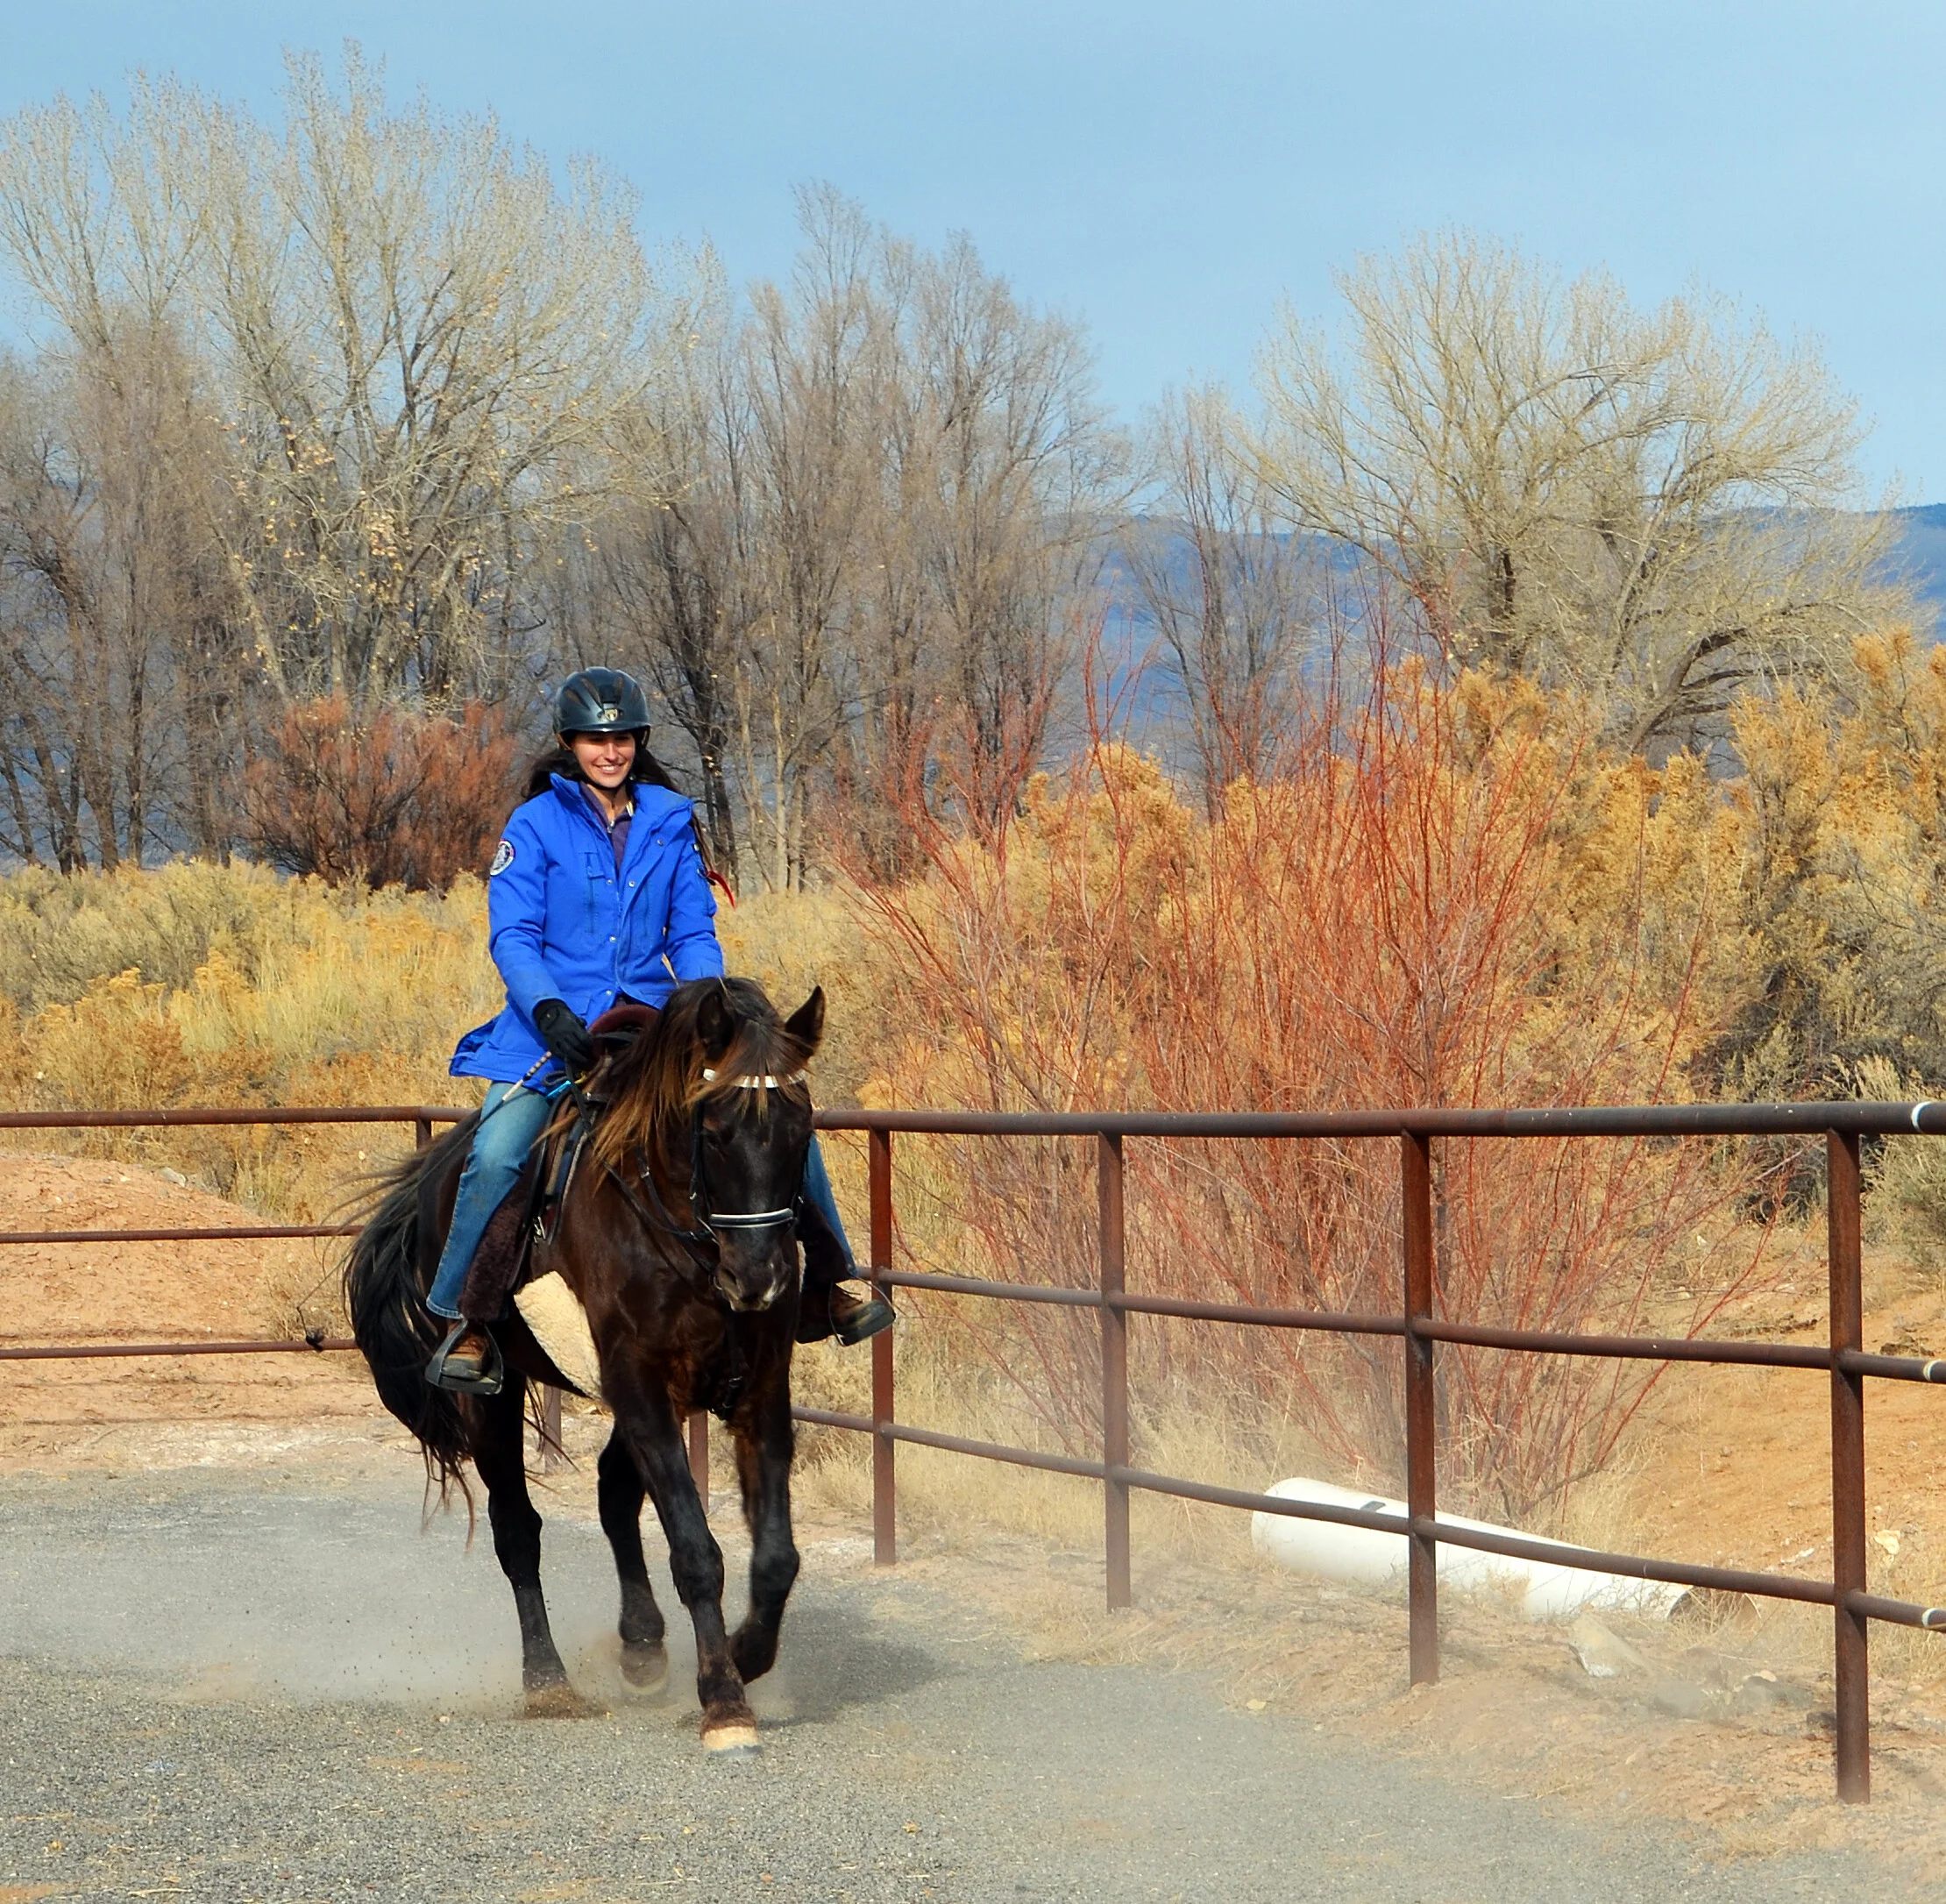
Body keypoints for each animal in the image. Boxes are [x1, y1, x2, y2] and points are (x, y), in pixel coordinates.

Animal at [344, 975, 824, 1753]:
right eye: (714, 1130)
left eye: (801, 1129)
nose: (760, 1279)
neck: (684, 1238)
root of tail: (441, 1167)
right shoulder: (640, 1384)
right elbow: (696, 1552)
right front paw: (724, 1702)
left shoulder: (755, 1390)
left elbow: (777, 1558)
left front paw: (745, 1656)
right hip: (495, 1398)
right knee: (517, 1529)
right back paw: (548, 1681)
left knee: (611, 1493)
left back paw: (642, 1645)